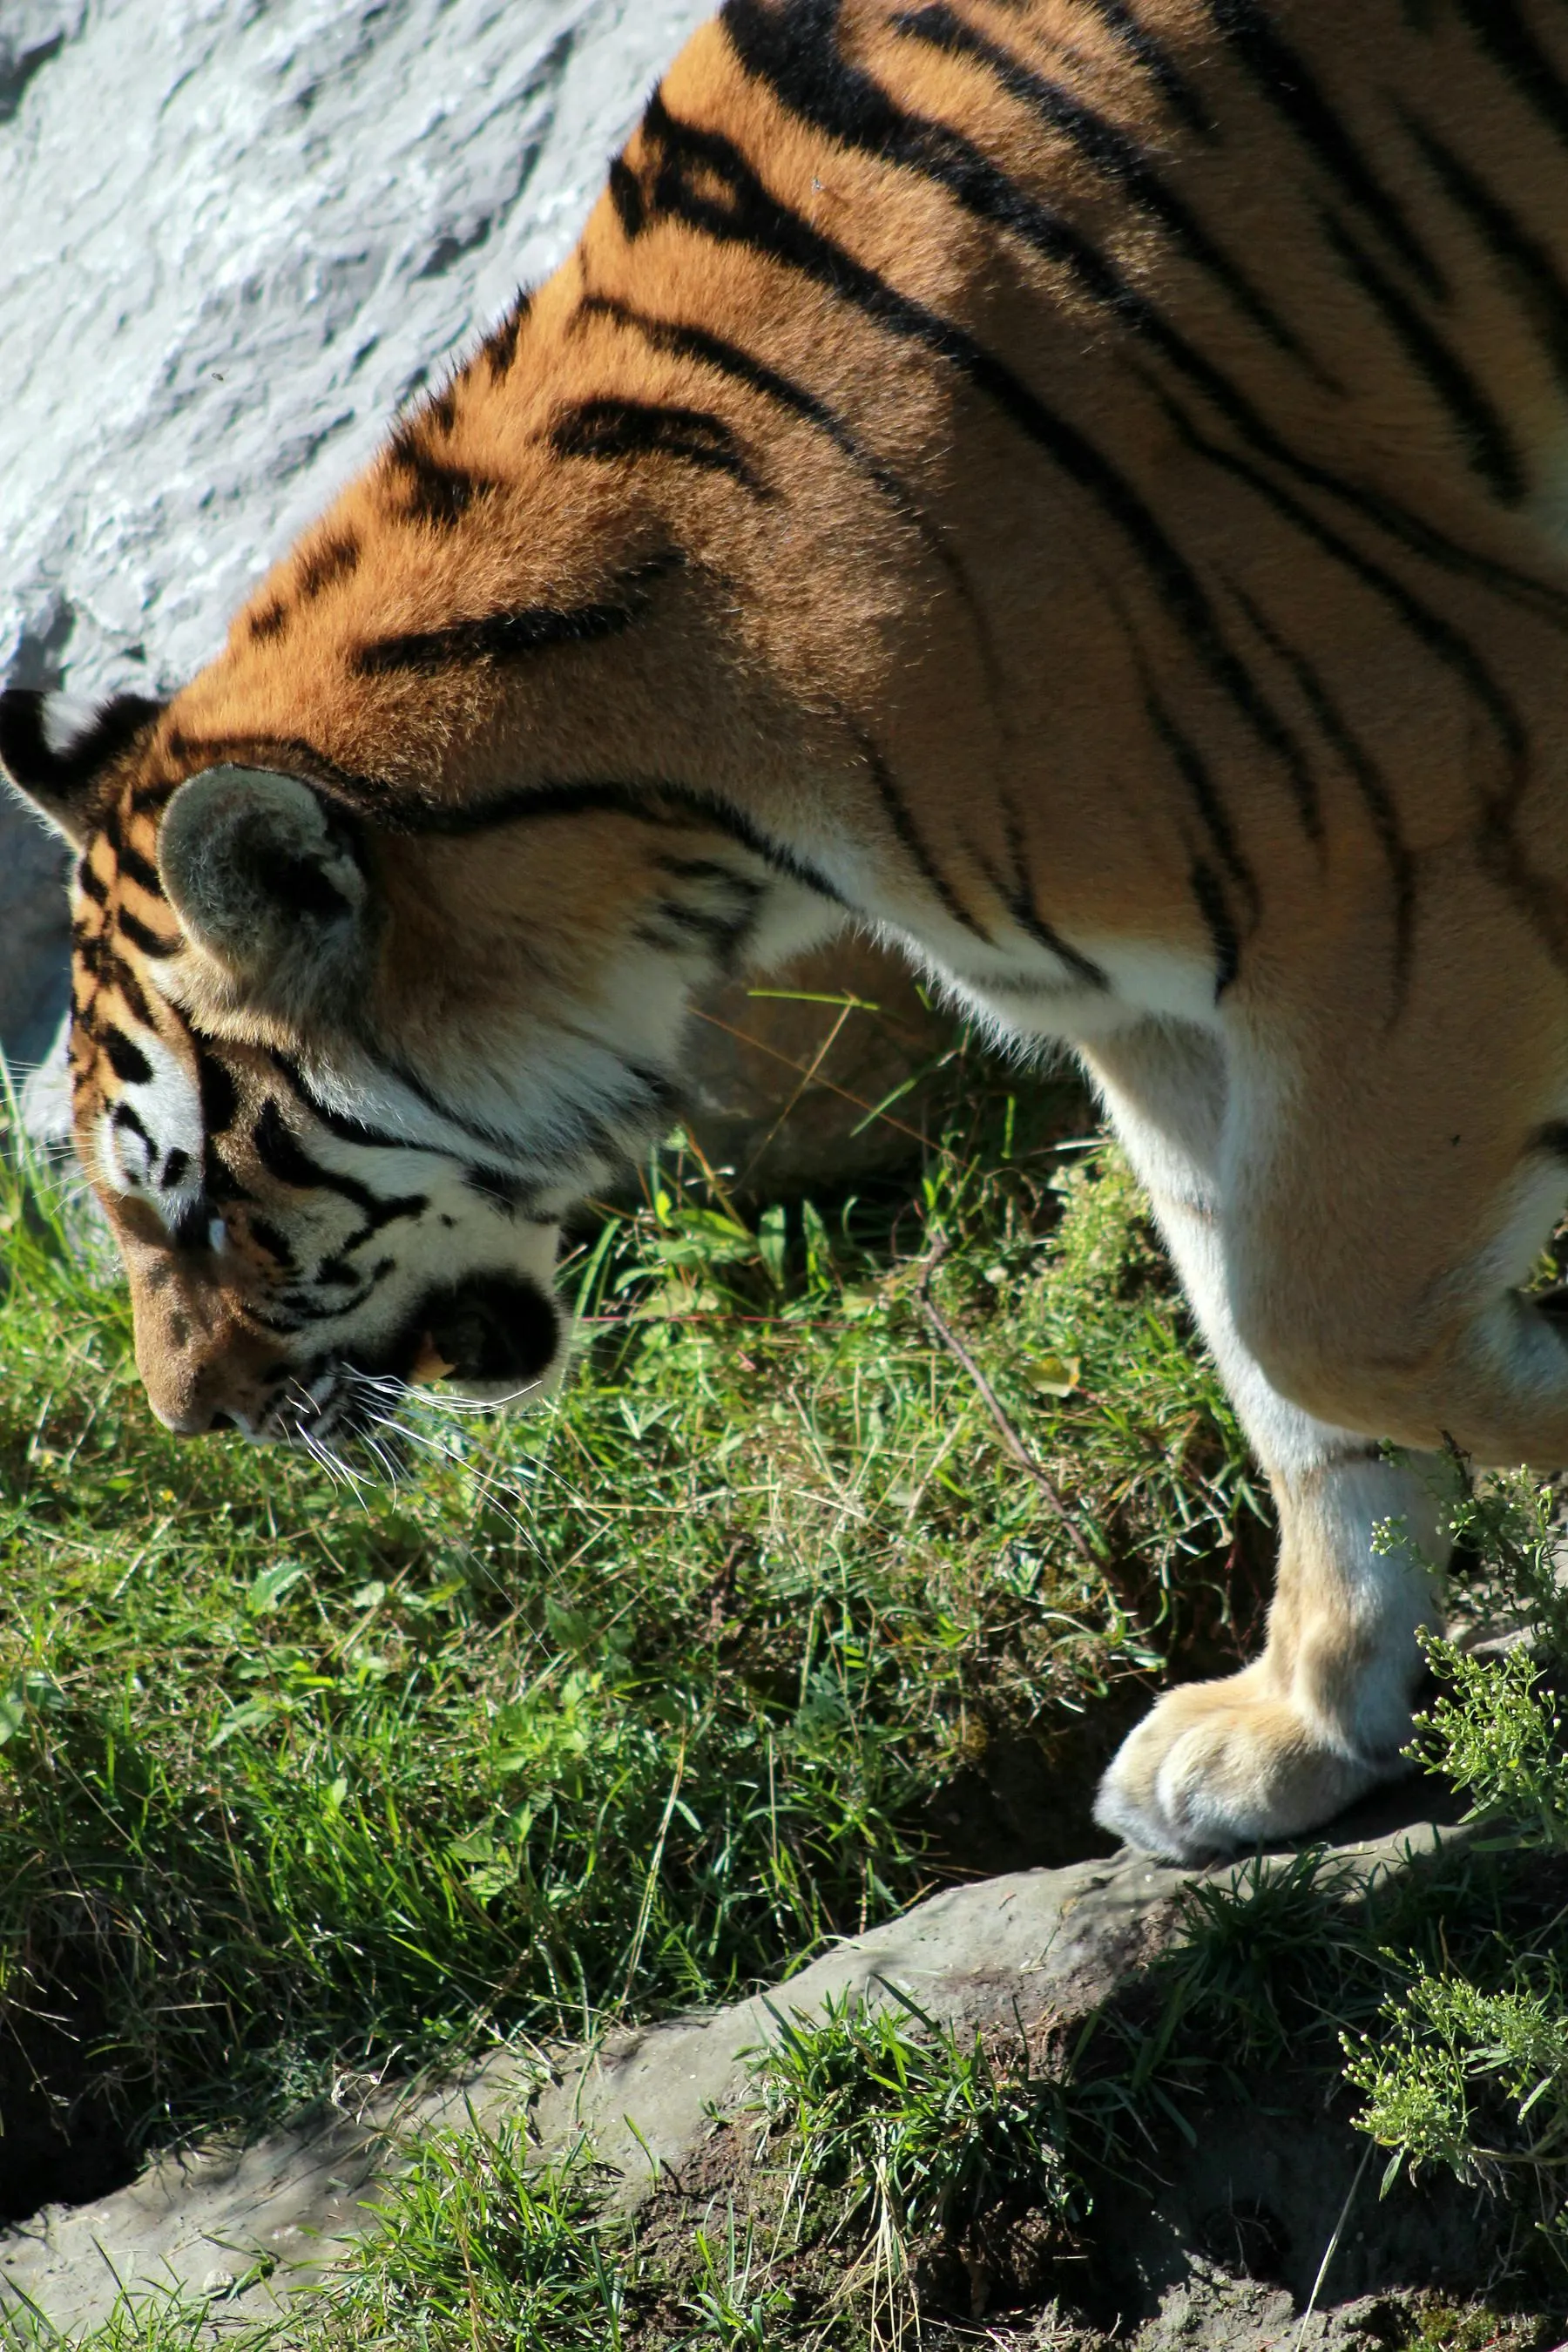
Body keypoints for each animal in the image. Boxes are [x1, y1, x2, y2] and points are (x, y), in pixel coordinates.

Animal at [9, 0, 1568, 1863]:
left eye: (198, 1205)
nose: (191, 1424)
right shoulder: (1155, 1011)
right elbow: (1290, 1382)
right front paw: (1295, 1727)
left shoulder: (1424, 825)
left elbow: (1316, 1313)